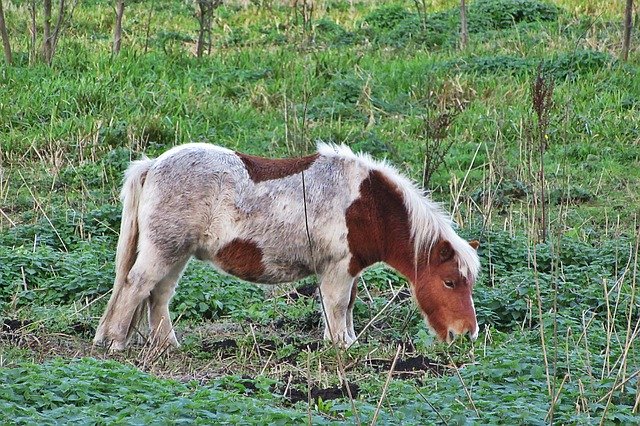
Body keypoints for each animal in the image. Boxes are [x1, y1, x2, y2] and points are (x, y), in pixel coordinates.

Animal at [92, 143, 478, 350]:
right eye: (449, 282)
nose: (467, 334)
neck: (368, 204)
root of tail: (152, 165)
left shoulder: (347, 270)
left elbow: (347, 307)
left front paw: (346, 341)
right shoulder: (338, 268)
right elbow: (337, 306)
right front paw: (342, 346)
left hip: (176, 254)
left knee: (158, 295)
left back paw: (167, 345)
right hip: (163, 251)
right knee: (136, 286)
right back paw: (114, 342)